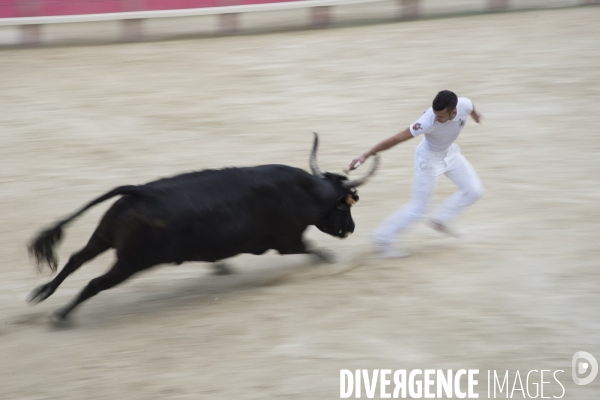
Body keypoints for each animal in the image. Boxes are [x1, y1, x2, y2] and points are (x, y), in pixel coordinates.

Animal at [27, 135, 380, 322]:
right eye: (345, 205)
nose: (350, 229)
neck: (306, 192)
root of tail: (140, 192)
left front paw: (221, 268)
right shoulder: (288, 241)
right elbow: (316, 251)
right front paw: (333, 263)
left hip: (103, 237)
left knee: (75, 259)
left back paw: (43, 293)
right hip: (131, 261)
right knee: (95, 282)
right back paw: (61, 316)